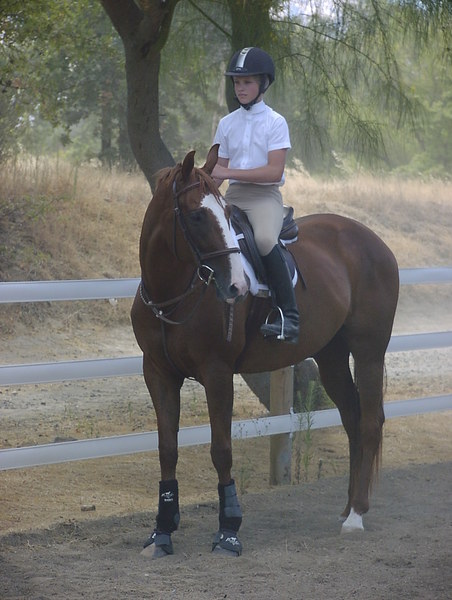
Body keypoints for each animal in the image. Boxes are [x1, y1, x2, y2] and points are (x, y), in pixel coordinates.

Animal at [131, 144, 399, 558]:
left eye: (227, 214)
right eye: (196, 215)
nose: (237, 287)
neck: (172, 295)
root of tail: (374, 241)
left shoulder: (217, 373)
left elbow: (221, 449)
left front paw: (228, 531)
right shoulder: (158, 374)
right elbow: (167, 450)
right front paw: (161, 533)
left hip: (369, 353)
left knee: (369, 422)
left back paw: (356, 517)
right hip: (332, 358)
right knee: (353, 419)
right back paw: (349, 506)